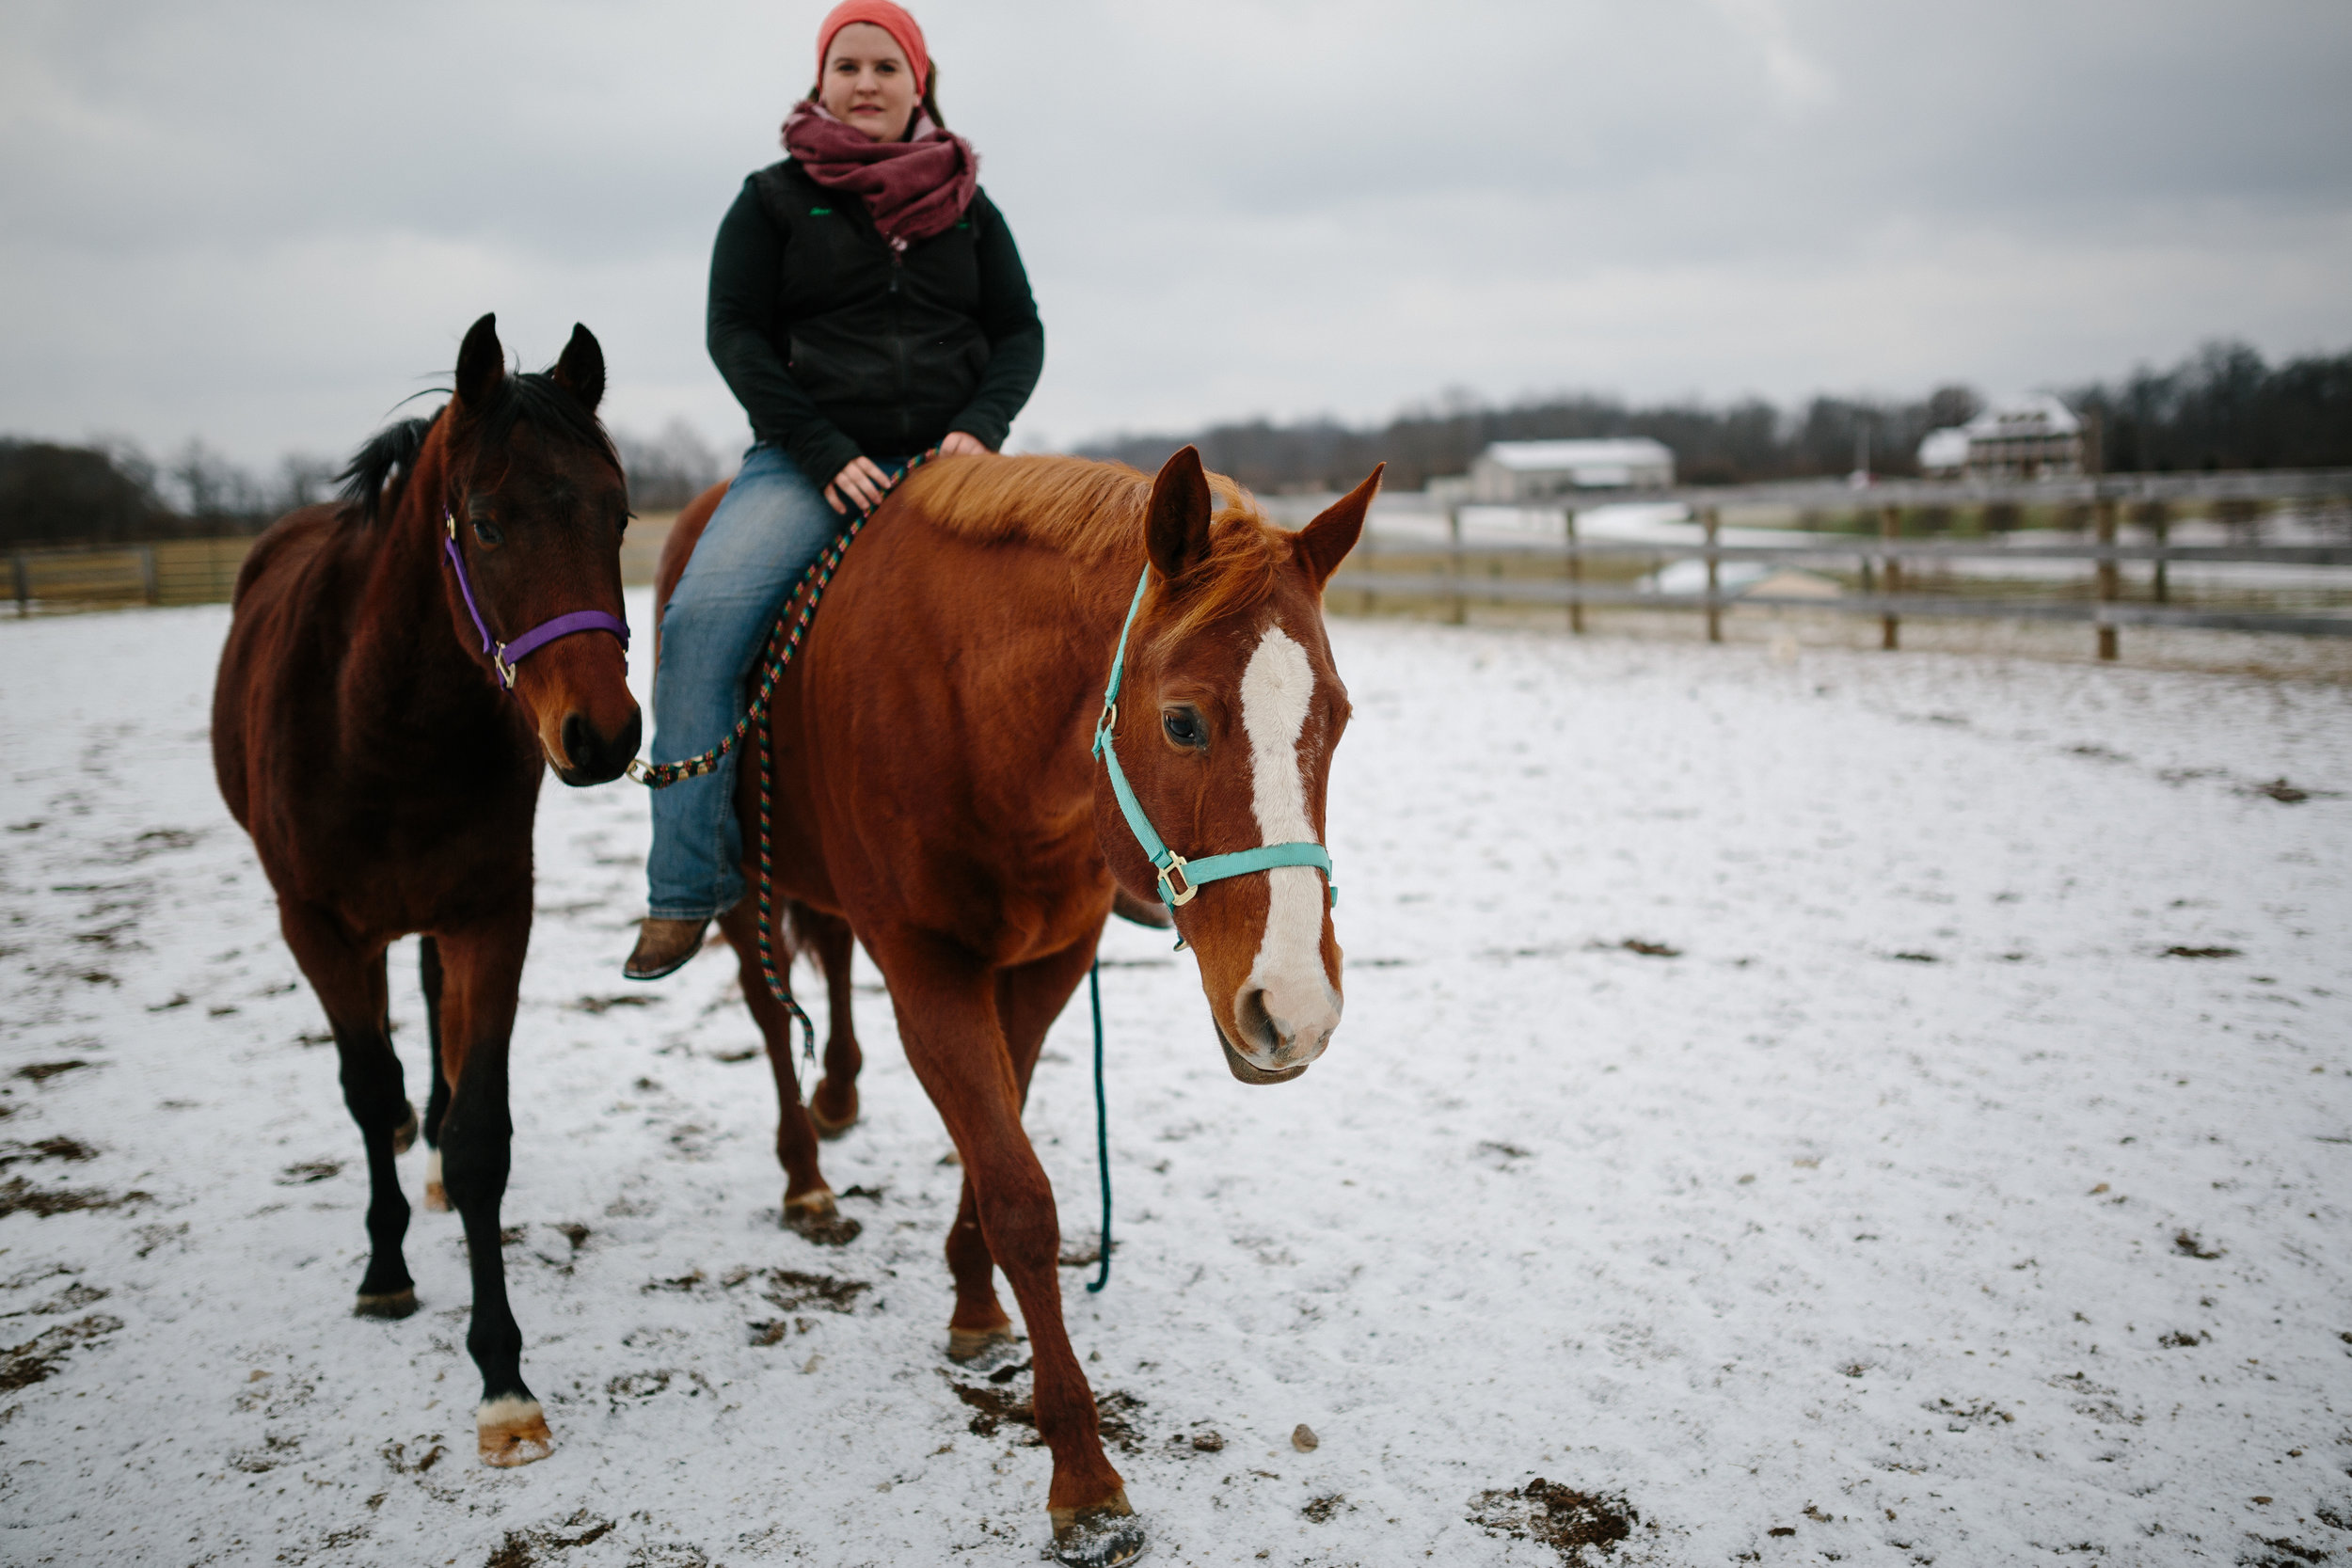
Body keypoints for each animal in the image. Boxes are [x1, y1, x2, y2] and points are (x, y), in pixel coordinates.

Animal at [205, 314, 635, 1476]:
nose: (604, 734)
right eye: (485, 523)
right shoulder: (313, 925)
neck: (380, 723)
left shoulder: (493, 915)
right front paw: (385, 1271)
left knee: (433, 1003)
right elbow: (362, 1086)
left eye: (620, 515)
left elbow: (483, 1134)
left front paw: (502, 1383)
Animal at [654, 446, 1374, 1560]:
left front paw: (972, 1298)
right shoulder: (929, 969)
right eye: (1181, 720)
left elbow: (998, 1142)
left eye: (1334, 719)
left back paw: (839, 1097)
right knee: (771, 1013)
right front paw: (1082, 1473)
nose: (1295, 1006)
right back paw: (805, 1177)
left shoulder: (1044, 964)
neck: (973, 703)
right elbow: (1020, 1196)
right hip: (740, 889)